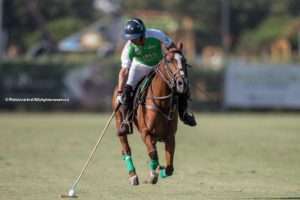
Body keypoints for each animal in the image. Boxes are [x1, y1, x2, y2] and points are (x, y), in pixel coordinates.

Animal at [111, 43, 189, 186]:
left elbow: (169, 167)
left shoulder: (170, 136)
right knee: (126, 148)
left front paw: (160, 171)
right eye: (169, 61)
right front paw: (153, 175)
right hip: (119, 122)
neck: (161, 102)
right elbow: (153, 153)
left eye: (184, 61)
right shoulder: (146, 133)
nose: (182, 84)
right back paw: (133, 176)